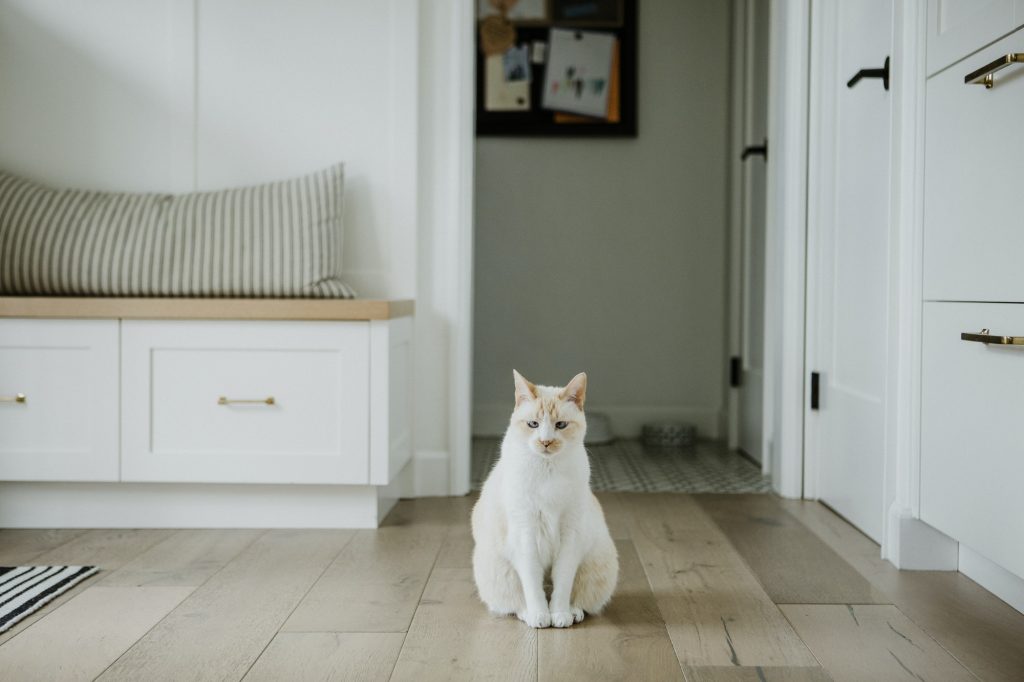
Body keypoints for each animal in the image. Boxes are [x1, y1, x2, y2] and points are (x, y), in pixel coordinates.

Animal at [468, 372, 614, 626]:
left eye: (561, 425)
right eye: (533, 424)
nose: (546, 441)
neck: (548, 470)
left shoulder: (570, 534)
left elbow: (563, 581)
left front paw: (560, 614)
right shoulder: (525, 533)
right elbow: (533, 583)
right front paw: (540, 615)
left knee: (577, 597)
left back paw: (573, 612)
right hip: (497, 570)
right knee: (516, 602)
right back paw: (529, 614)